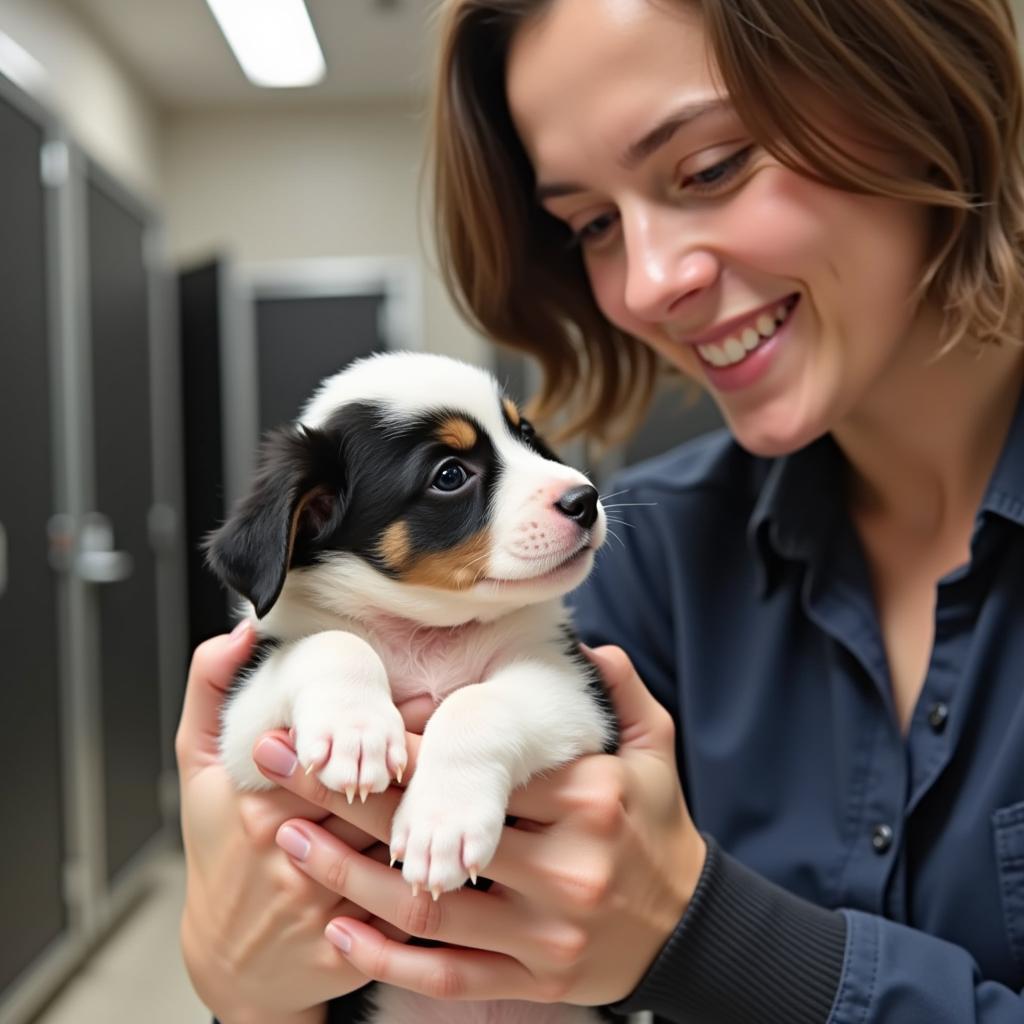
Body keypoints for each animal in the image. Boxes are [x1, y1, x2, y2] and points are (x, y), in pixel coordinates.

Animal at [207, 354, 614, 1024]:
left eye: (525, 433)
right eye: (450, 475)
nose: (585, 499)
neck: (428, 634)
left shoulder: (578, 688)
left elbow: (480, 702)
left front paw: (442, 820)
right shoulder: (241, 732)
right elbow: (335, 643)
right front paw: (355, 734)